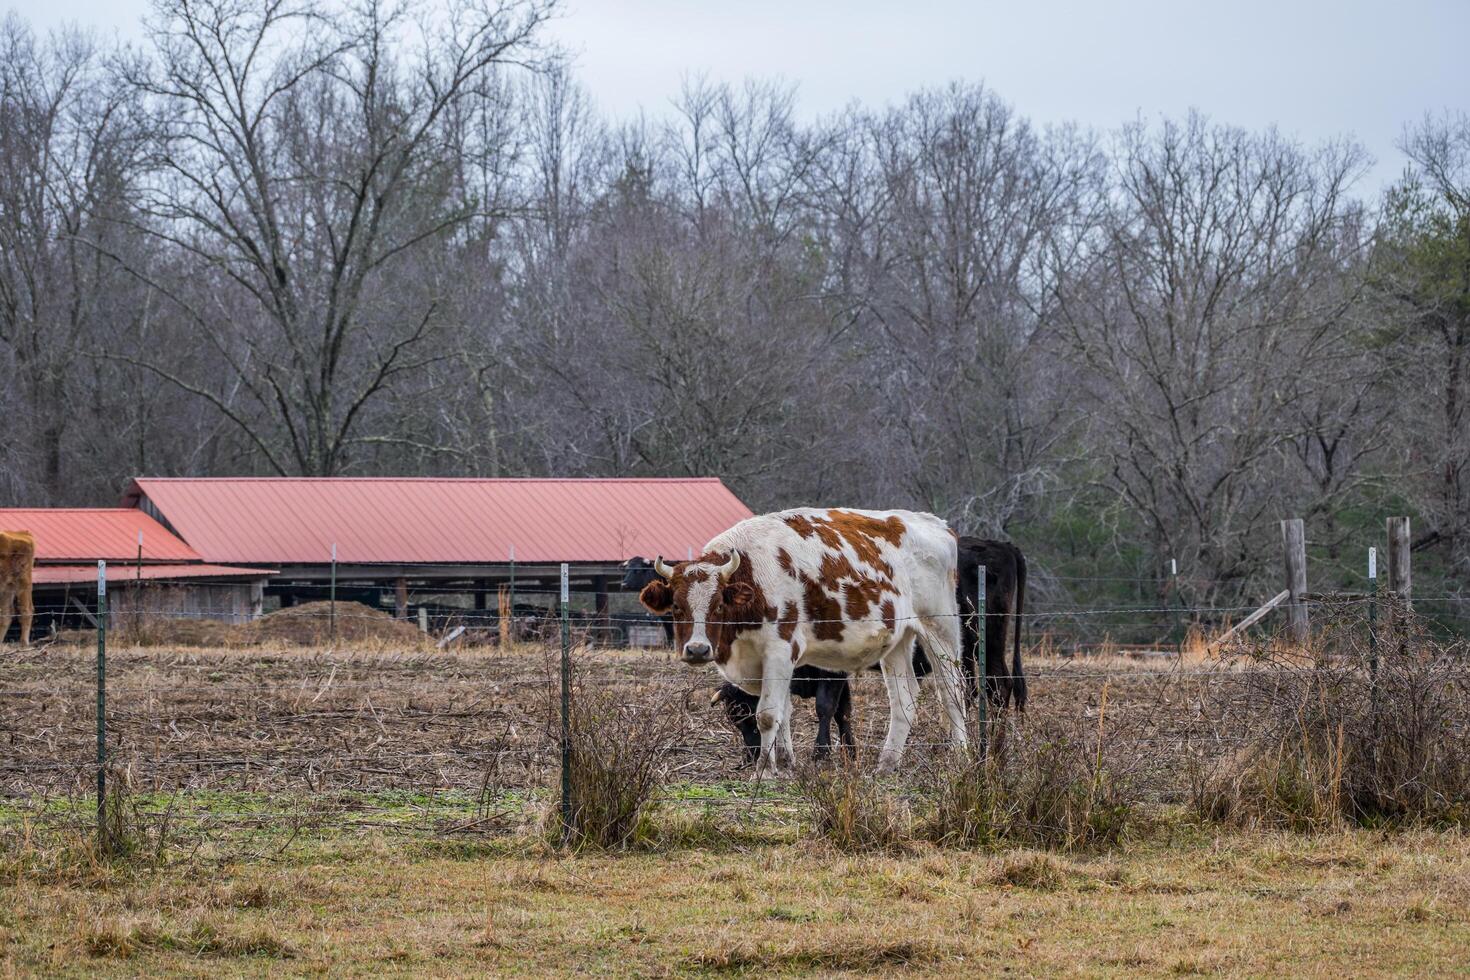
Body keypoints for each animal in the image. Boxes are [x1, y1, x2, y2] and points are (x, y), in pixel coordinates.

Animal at [640, 505, 964, 775]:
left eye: (718, 605)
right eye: (676, 607)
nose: (697, 649)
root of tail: (937, 524)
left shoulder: (780, 651)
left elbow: (768, 714)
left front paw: (764, 771)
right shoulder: (771, 663)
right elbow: (784, 713)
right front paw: (784, 764)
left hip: (939, 629)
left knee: (952, 692)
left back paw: (961, 756)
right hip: (897, 641)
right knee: (903, 700)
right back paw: (886, 764)